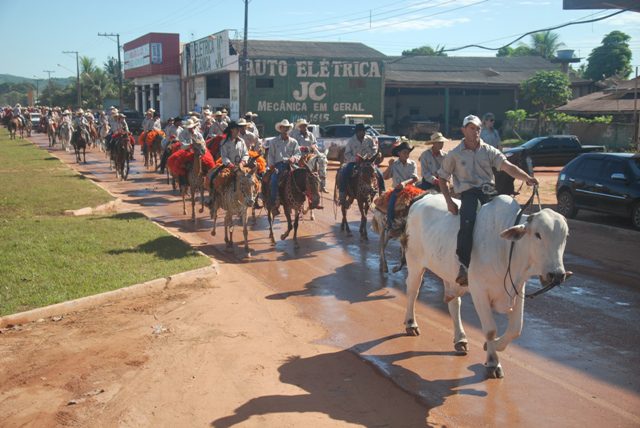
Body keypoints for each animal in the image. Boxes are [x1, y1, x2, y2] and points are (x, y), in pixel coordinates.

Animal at [402, 194, 572, 378]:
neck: (507, 250)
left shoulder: (518, 288)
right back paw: (411, 324)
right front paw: (493, 362)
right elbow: (490, 330)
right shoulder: (480, 292)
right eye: (538, 234)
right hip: (415, 264)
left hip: (449, 273)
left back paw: (460, 339)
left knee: (454, 303)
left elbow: (516, 329)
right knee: (412, 291)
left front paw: (494, 346)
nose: (557, 275)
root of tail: (422, 199)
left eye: (565, 236)